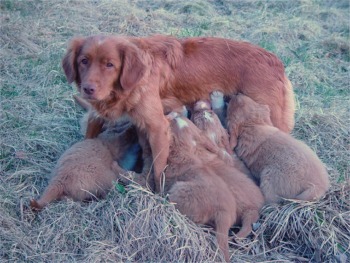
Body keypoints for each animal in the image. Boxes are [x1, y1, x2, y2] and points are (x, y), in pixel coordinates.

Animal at [62, 35, 296, 193]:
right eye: (84, 61)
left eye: (110, 64)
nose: (88, 89)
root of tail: (276, 61)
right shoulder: (96, 115)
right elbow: (89, 137)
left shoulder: (157, 127)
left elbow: (158, 170)